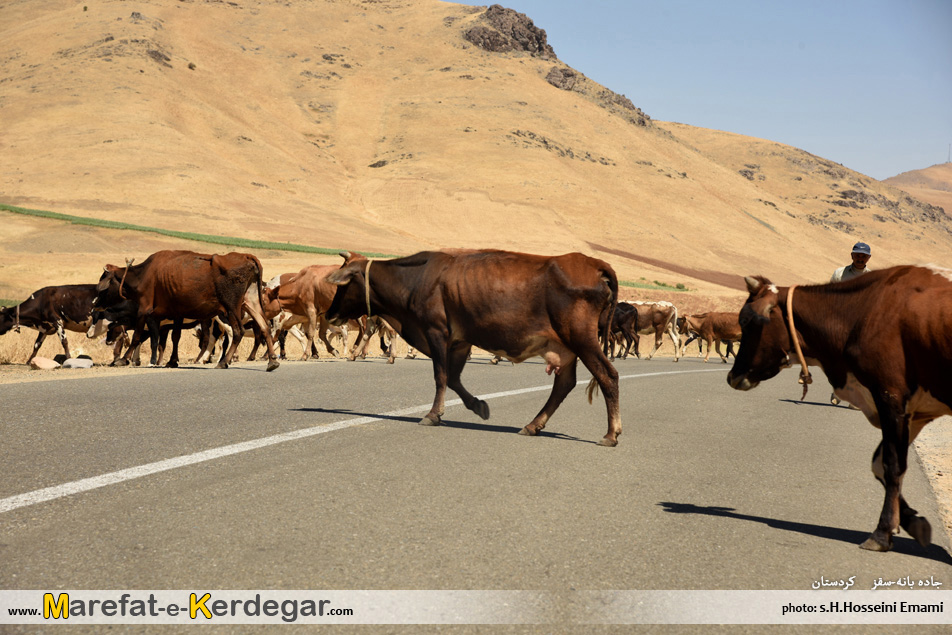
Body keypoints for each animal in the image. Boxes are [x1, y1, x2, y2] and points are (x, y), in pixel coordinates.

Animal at [94, 247, 278, 368]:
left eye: (103, 279)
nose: (95, 304)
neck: (143, 274)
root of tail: (246, 256)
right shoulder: (177, 313)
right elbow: (175, 337)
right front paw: (172, 361)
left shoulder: (144, 310)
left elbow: (137, 336)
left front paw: (124, 359)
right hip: (251, 302)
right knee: (264, 327)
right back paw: (272, 360)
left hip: (231, 307)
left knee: (238, 331)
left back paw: (224, 361)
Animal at [326, 250, 624, 448]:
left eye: (344, 284)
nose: (329, 313)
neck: (417, 278)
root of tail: (595, 264)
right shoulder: (460, 341)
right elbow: (454, 379)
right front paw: (478, 405)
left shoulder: (436, 332)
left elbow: (441, 376)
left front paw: (433, 414)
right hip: (566, 348)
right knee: (564, 385)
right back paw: (533, 425)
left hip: (581, 340)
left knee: (607, 376)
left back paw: (611, 434)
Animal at [724, 264, 948, 552]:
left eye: (746, 321)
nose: (732, 376)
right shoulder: (915, 412)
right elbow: (879, 464)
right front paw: (913, 522)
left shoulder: (890, 397)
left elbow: (892, 465)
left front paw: (882, 532)